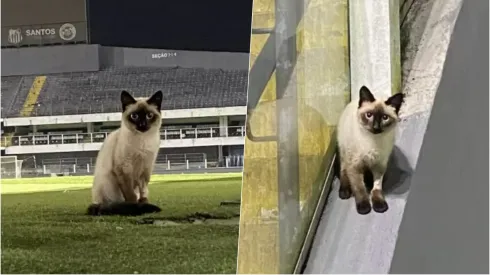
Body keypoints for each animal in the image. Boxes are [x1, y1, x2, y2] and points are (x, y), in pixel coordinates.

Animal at [334, 86, 404, 216]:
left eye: (385, 118)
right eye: (369, 115)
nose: (376, 127)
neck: (372, 142)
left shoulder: (379, 166)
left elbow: (376, 188)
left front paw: (379, 205)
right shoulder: (355, 166)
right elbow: (360, 189)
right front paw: (364, 208)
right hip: (344, 153)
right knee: (343, 171)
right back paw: (344, 192)